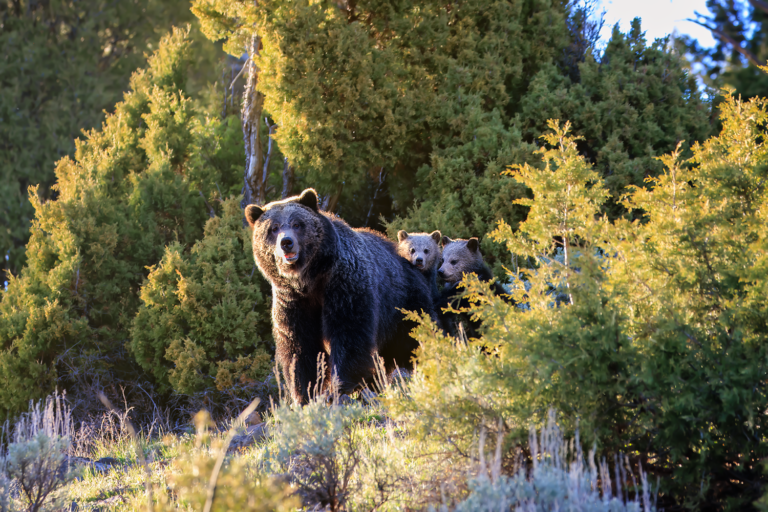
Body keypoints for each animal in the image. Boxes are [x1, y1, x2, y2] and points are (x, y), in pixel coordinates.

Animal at [245, 188, 435, 404]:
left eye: (297, 224)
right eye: (273, 228)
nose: (287, 242)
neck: (310, 280)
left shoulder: (344, 285)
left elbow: (348, 333)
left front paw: (341, 387)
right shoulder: (292, 300)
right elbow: (299, 345)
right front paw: (305, 393)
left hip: (404, 305)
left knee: (416, 338)